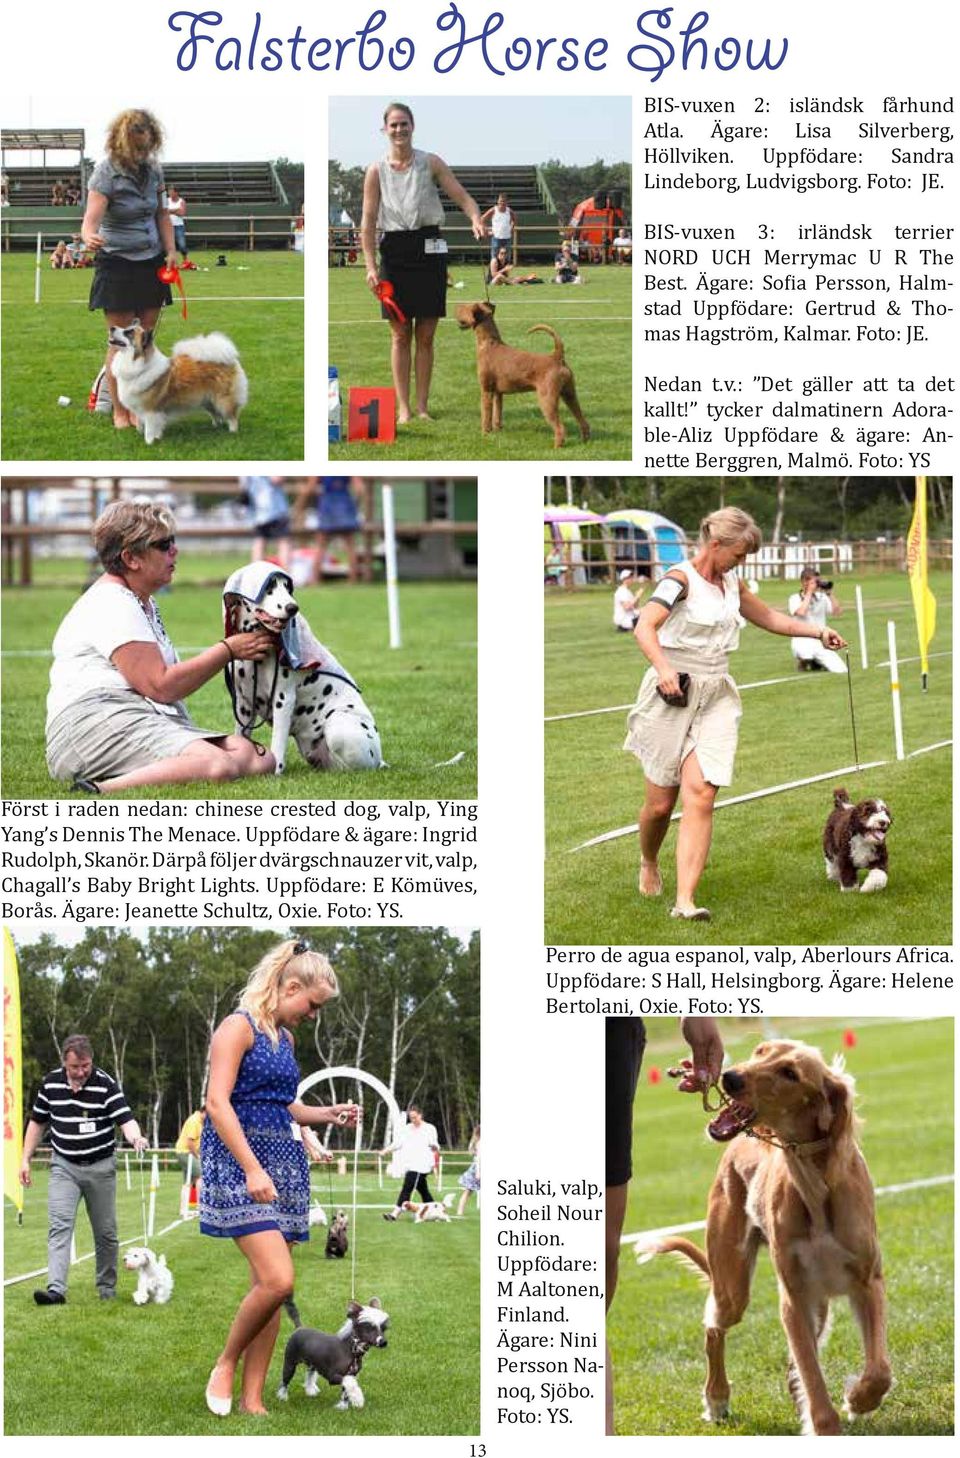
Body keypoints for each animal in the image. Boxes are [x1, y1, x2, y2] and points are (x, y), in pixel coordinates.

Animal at [107, 323, 246, 443]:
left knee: (232, 416)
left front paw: (149, 442)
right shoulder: (140, 407)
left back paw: (233, 432)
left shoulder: (151, 409)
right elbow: (140, 423)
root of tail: (229, 360)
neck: (140, 366)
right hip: (207, 400)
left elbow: (150, 428)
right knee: (216, 414)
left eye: (129, 333)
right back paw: (216, 426)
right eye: (126, 328)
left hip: (222, 399)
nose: (112, 327)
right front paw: (142, 433)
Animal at [221, 562, 382, 781]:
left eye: (287, 588)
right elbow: (241, 736)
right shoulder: (243, 704)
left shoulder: (283, 700)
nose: (292, 608)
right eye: (269, 586)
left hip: (337, 725)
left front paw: (276, 771)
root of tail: (380, 759)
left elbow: (277, 743)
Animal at [636, 1038, 887, 1434]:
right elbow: (813, 1380)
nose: (729, 1076)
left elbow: (879, 1370)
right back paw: (717, 1398)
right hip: (733, 1284)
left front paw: (858, 1398)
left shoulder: (867, 1280)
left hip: (817, 1300)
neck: (816, 1186)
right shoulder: (794, 1297)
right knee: (713, 1326)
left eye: (790, 1073)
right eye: (761, 1051)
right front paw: (828, 1419)